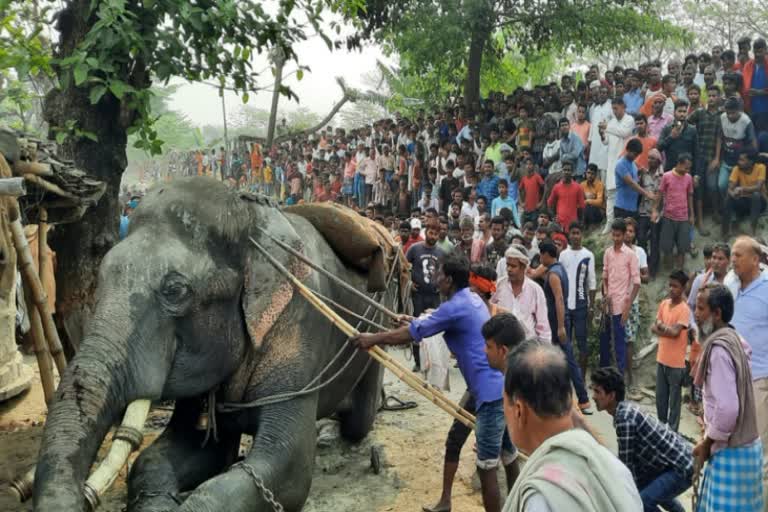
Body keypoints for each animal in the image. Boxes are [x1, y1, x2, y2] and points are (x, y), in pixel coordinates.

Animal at [34, 177, 408, 512]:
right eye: (100, 276)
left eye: (175, 290)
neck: (250, 218)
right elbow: (179, 453)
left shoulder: (300, 322)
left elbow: (287, 468)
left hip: (381, 313)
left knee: (360, 419)